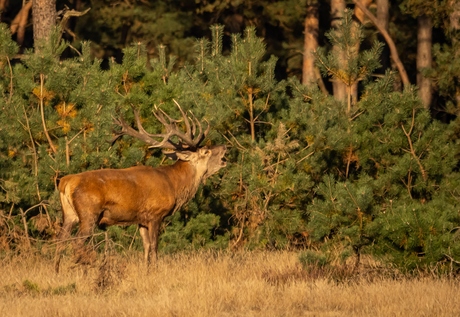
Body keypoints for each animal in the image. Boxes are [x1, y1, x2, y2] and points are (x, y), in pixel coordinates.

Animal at [54, 100, 227, 272]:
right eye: (206, 151)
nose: (225, 147)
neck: (174, 185)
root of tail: (66, 182)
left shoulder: (141, 219)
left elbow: (146, 246)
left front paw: (146, 270)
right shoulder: (156, 214)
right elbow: (154, 246)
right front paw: (155, 270)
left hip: (69, 214)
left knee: (60, 240)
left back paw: (57, 272)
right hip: (89, 212)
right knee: (76, 242)